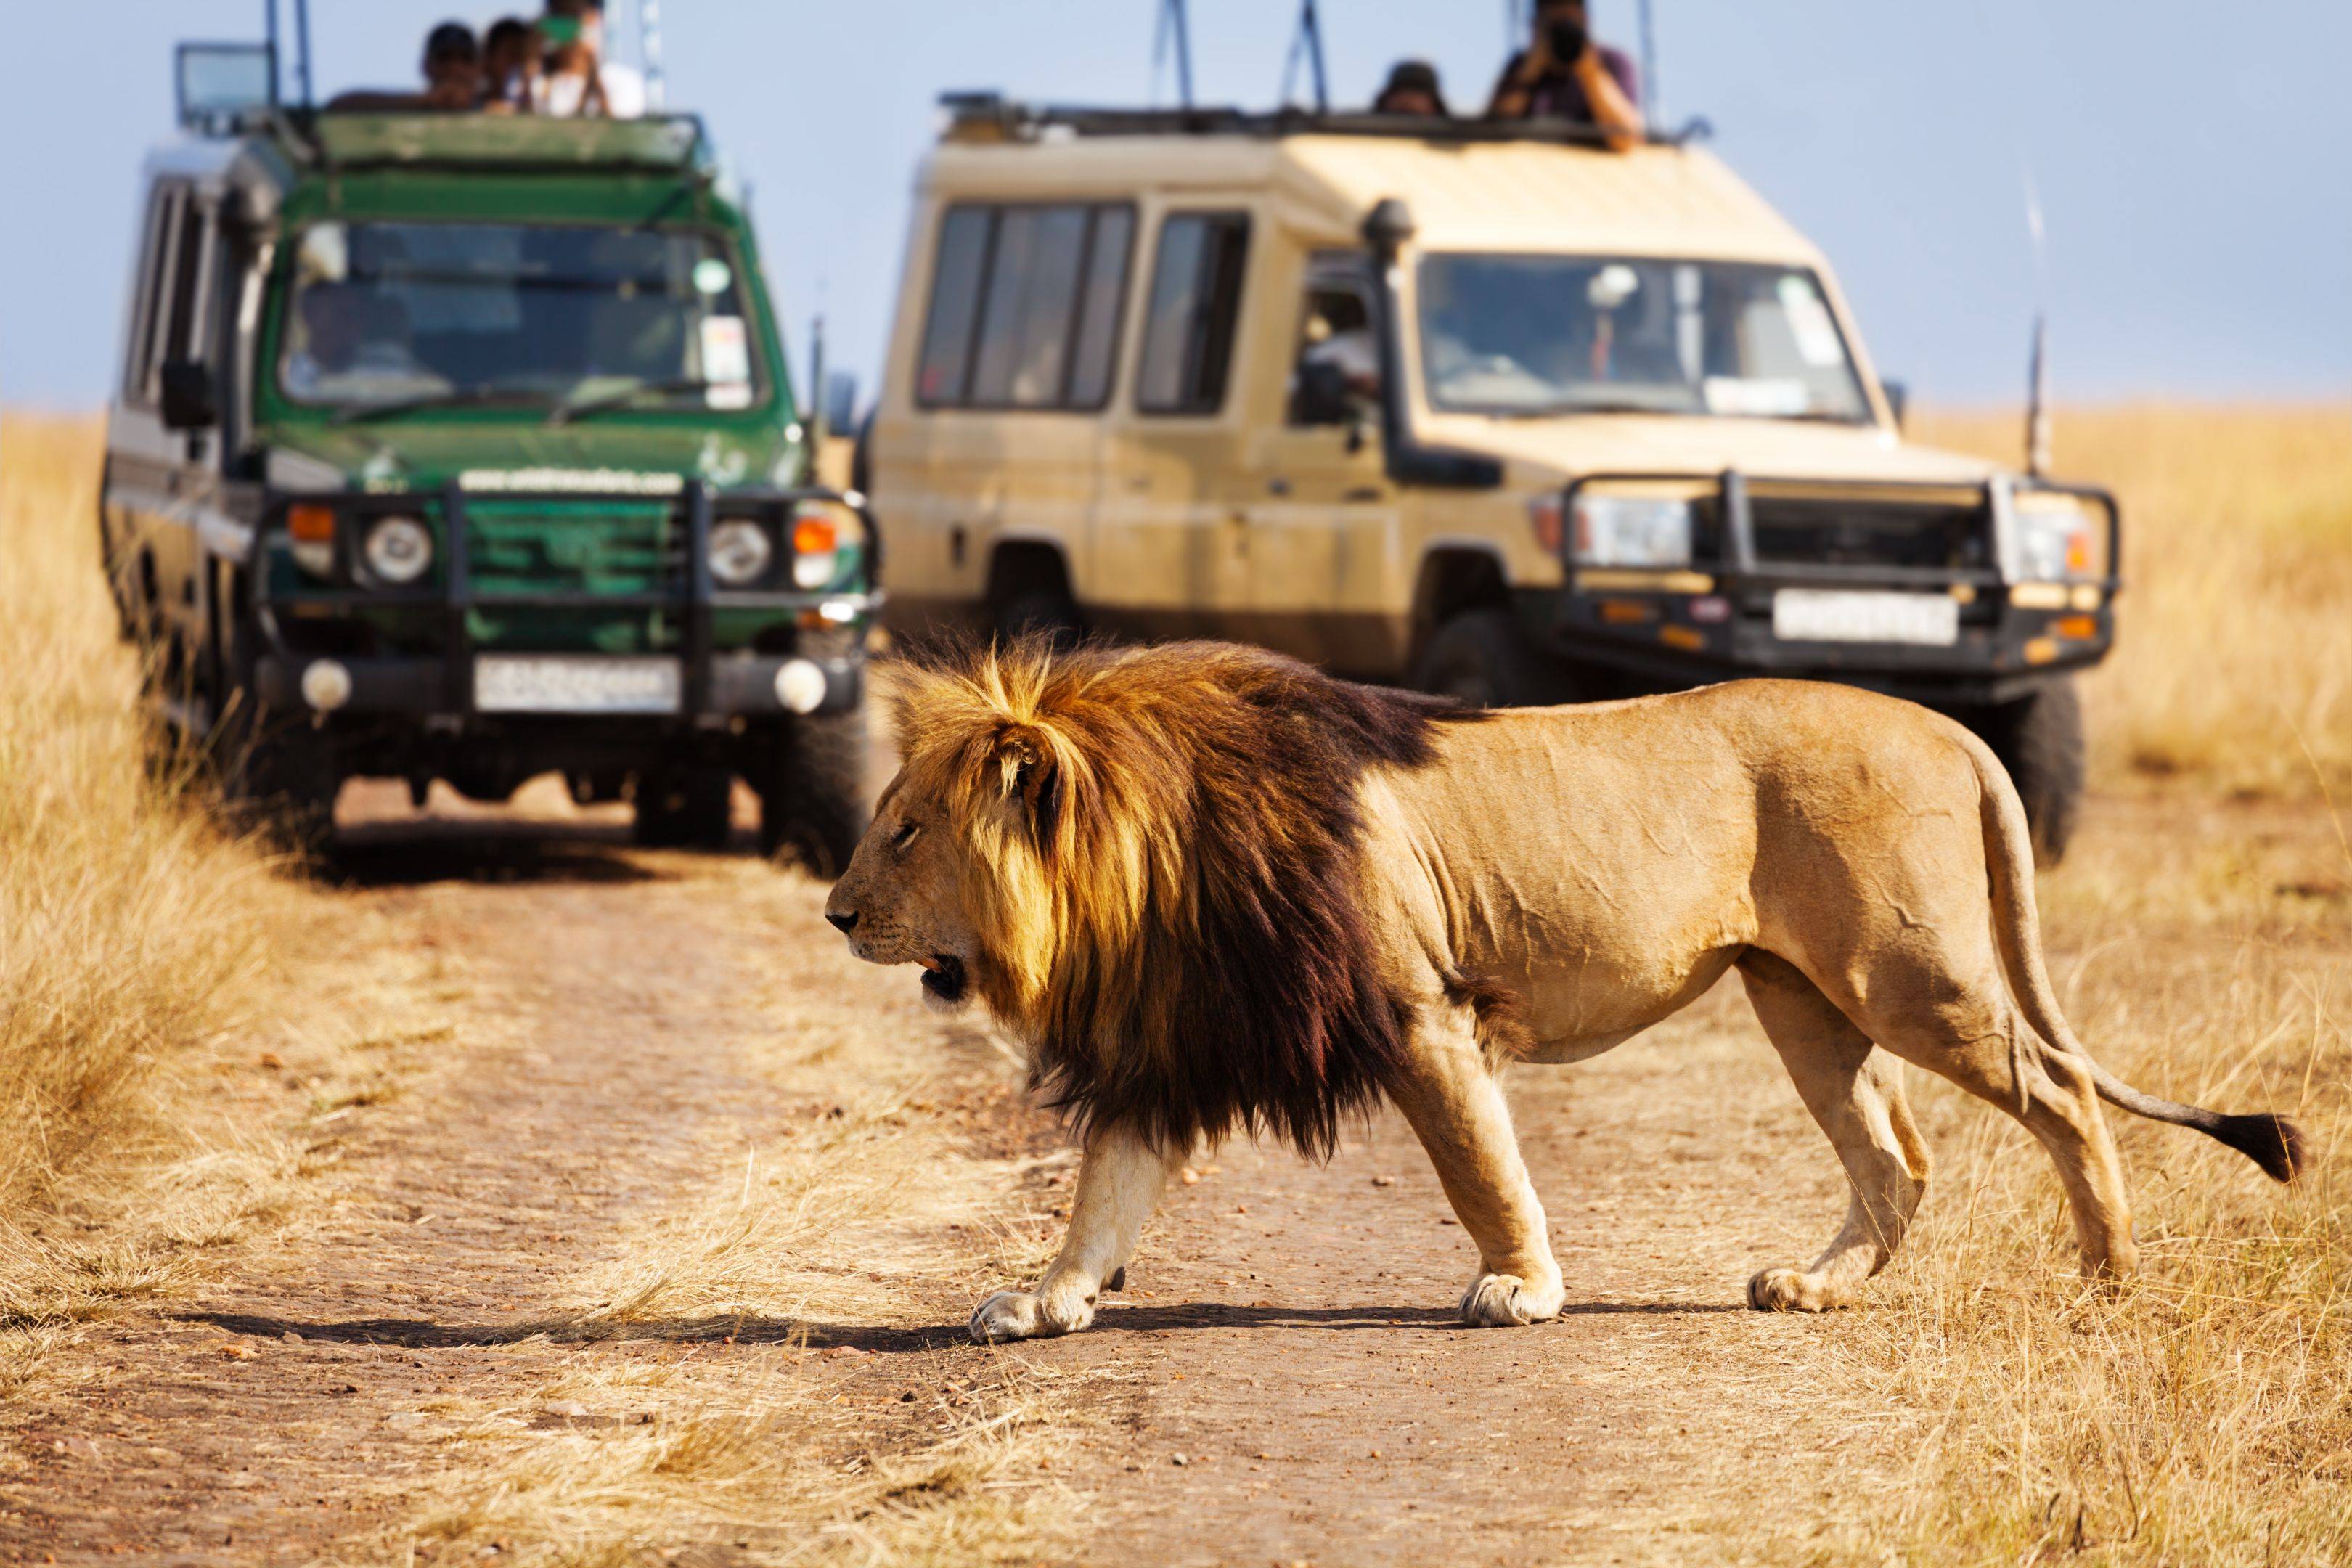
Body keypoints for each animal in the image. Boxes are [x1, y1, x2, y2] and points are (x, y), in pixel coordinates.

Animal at [818, 629, 2305, 1344]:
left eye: (905, 831)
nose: (834, 914)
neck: (1148, 867)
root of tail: (1947, 723)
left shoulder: (1422, 1012)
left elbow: (1482, 1167)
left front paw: (1522, 1291)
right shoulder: (1173, 1042)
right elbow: (1101, 1195)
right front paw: (1044, 1303)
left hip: (1908, 974)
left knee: (2060, 1089)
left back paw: (2106, 1278)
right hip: (1800, 999)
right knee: (1898, 1158)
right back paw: (1813, 1290)